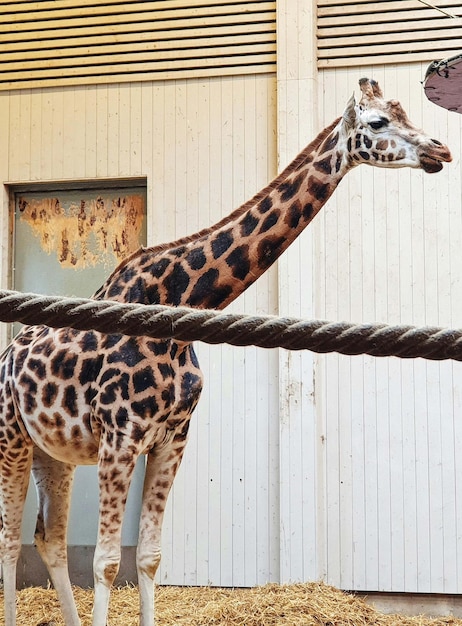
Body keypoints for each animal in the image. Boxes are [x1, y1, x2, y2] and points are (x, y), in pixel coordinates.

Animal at [0, 79, 452, 624]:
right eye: (379, 122)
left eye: (405, 111)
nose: (441, 151)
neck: (180, 305)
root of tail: (5, 357)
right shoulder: (121, 437)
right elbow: (108, 562)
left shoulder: (172, 439)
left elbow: (148, 557)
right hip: (10, 436)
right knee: (9, 541)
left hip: (52, 451)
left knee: (49, 538)